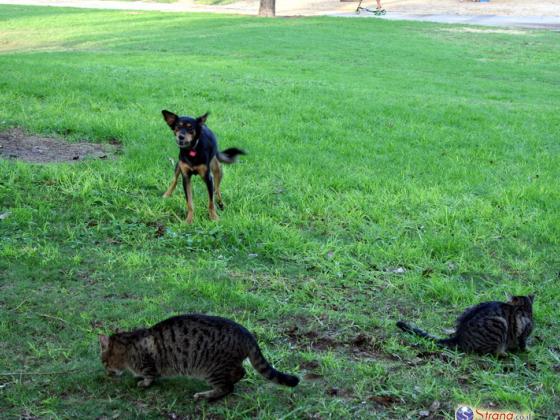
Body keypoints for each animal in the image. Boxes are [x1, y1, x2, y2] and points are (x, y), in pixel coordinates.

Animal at [98, 316, 300, 400]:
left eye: (104, 362)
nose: (106, 372)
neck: (128, 344)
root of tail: (247, 333)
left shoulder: (148, 364)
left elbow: (150, 376)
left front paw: (143, 382)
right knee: (240, 372)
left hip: (211, 369)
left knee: (227, 387)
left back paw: (206, 395)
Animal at [396, 296, 532, 354]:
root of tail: (458, 337)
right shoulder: (524, 331)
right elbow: (523, 343)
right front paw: (526, 350)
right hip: (500, 325)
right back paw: (503, 354)